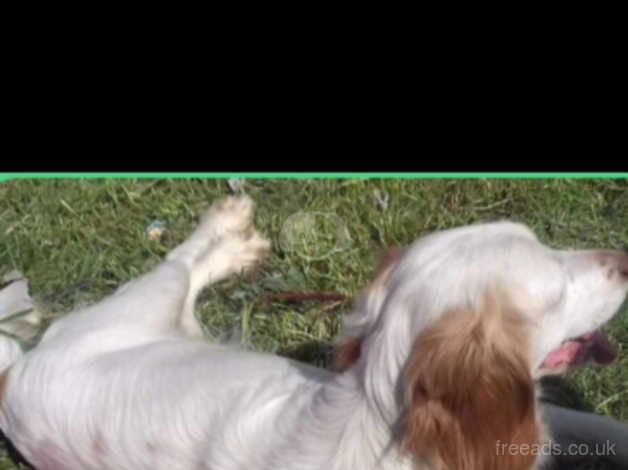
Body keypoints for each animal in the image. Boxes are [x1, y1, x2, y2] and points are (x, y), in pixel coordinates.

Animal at [0, 196, 624, 470]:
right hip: (141, 299)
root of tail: (14, 372)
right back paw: (225, 223)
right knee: (178, 261)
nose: (622, 258)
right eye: (556, 285)